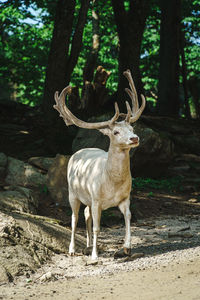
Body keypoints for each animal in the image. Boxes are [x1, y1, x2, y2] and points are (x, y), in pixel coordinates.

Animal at [53, 69, 145, 260]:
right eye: (116, 132)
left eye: (132, 129)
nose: (134, 138)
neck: (111, 184)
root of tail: (79, 151)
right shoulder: (96, 199)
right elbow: (97, 227)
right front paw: (95, 256)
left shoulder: (125, 197)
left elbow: (128, 216)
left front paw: (127, 247)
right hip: (73, 193)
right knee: (74, 219)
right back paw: (73, 249)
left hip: (87, 198)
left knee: (86, 215)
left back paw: (87, 246)